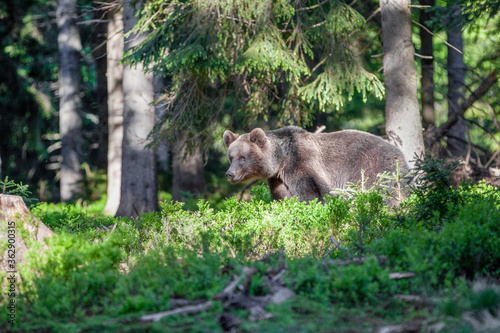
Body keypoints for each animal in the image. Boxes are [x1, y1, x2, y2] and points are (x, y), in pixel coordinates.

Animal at [223, 126, 410, 200]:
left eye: (243, 157)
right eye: (231, 157)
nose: (229, 174)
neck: (281, 160)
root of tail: (401, 156)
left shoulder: (301, 161)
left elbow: (315, 191)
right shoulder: (278, 179)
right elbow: (283, 197)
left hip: (372, 167)